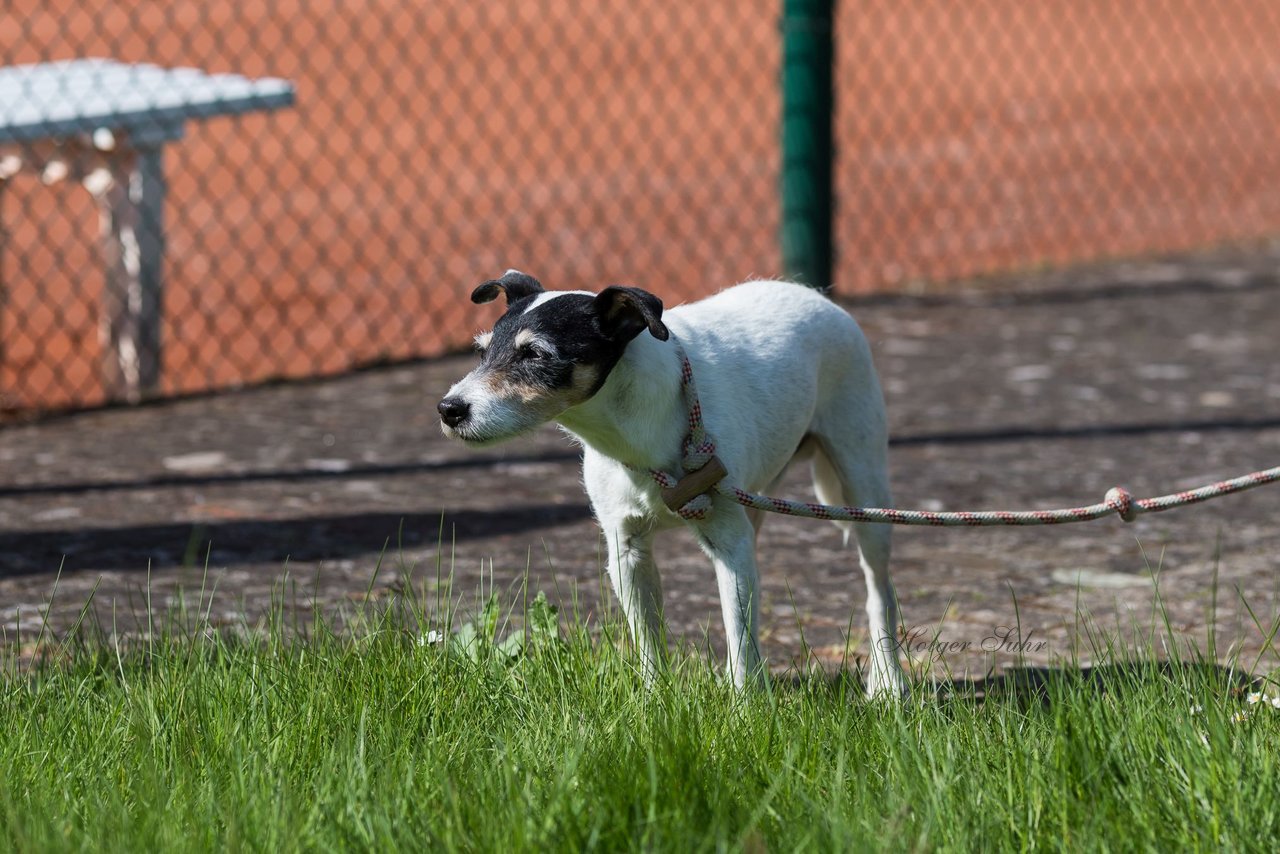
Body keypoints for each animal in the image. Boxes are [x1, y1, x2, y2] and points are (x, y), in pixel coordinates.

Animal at [445, 270, 906, 696]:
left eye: (535, 354)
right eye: (482, 351)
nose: (449, 409)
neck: (640, 427)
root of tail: (814, 294)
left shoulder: (729, 543)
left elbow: (739, 636)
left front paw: (744, 708)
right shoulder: (628, 550)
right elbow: (650, 643)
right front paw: (653, 701)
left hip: (864, 489)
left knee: (879, 591)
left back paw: (888, 681)